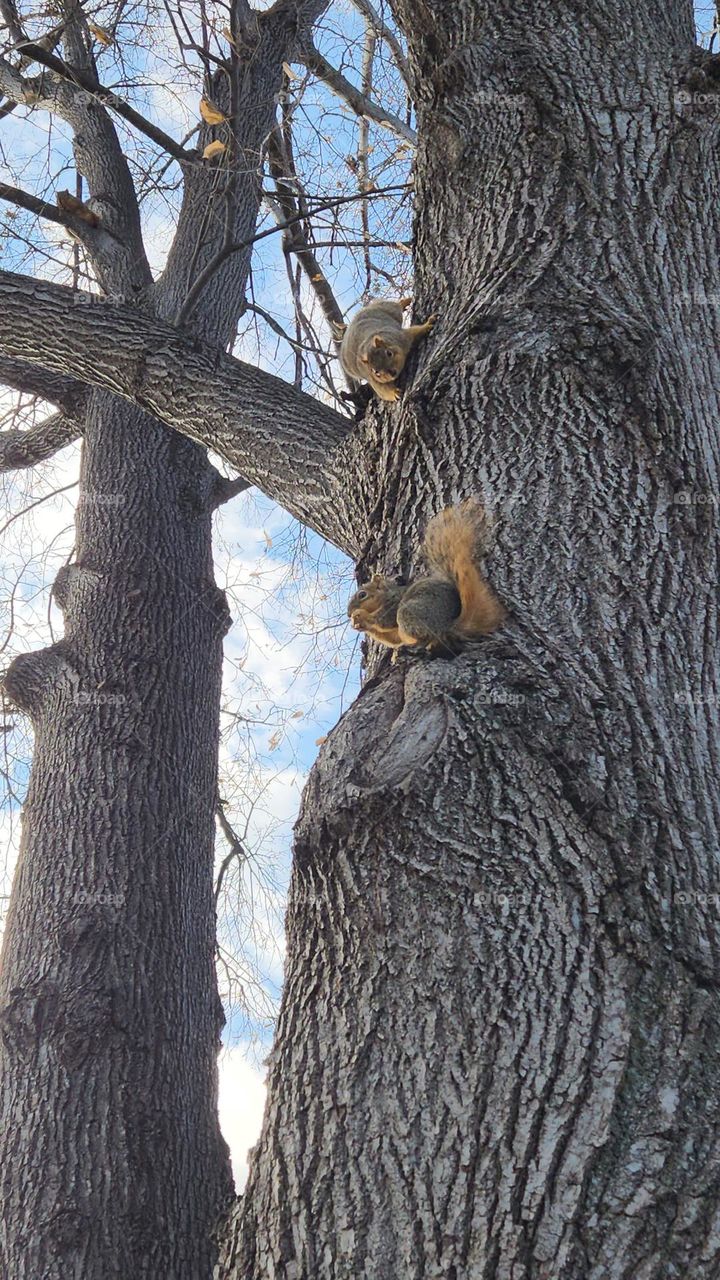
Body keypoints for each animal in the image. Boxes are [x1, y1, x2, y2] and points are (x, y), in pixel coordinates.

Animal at [348, 500, 505, 655]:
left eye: (362, 595)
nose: (349, 613)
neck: (385, 595)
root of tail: (448, 626)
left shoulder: (393, 602)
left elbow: (385, 619)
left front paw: (361, 615)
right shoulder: (394, 631)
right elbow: (392, 637)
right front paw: (358, 624)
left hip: (412, 612)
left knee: (427, 635)